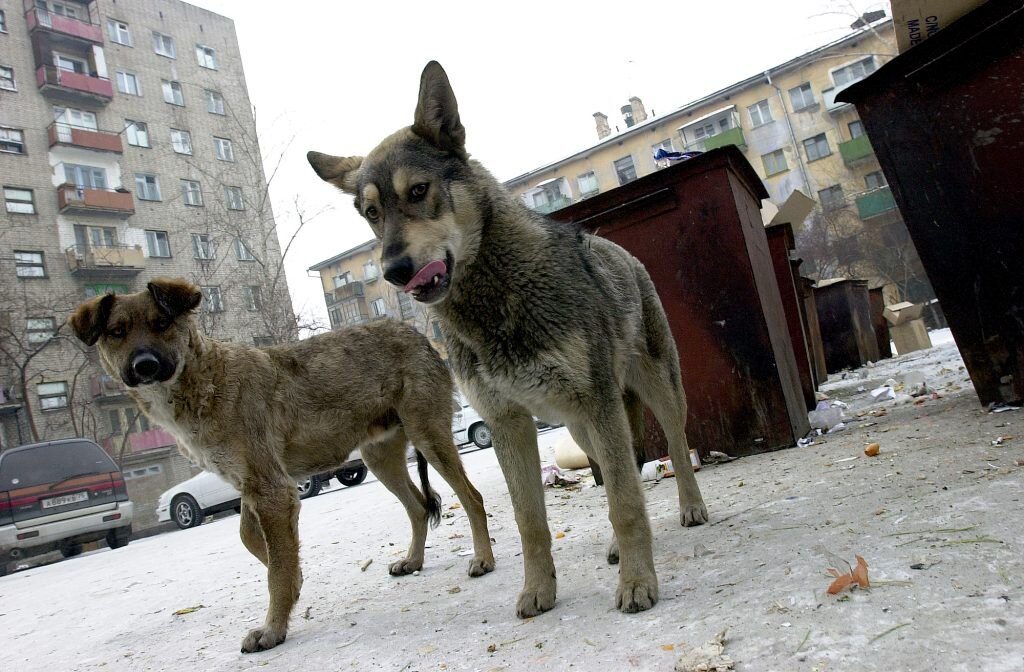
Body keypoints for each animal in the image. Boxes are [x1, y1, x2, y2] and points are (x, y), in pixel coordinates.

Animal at [70, 278, 493, 651]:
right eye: (117, 332)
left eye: (162, 323)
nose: (144, 365)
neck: (205, 381)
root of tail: (415, 333)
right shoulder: (252, 487)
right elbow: (255, 543)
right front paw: (295, 582)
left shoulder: (272, 490)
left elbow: (275, 567)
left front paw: (273, 628)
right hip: (381, 458)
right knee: (419, 508)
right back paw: (414, 561)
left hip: (429, 438)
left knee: (472, 498)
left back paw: (483, 559)